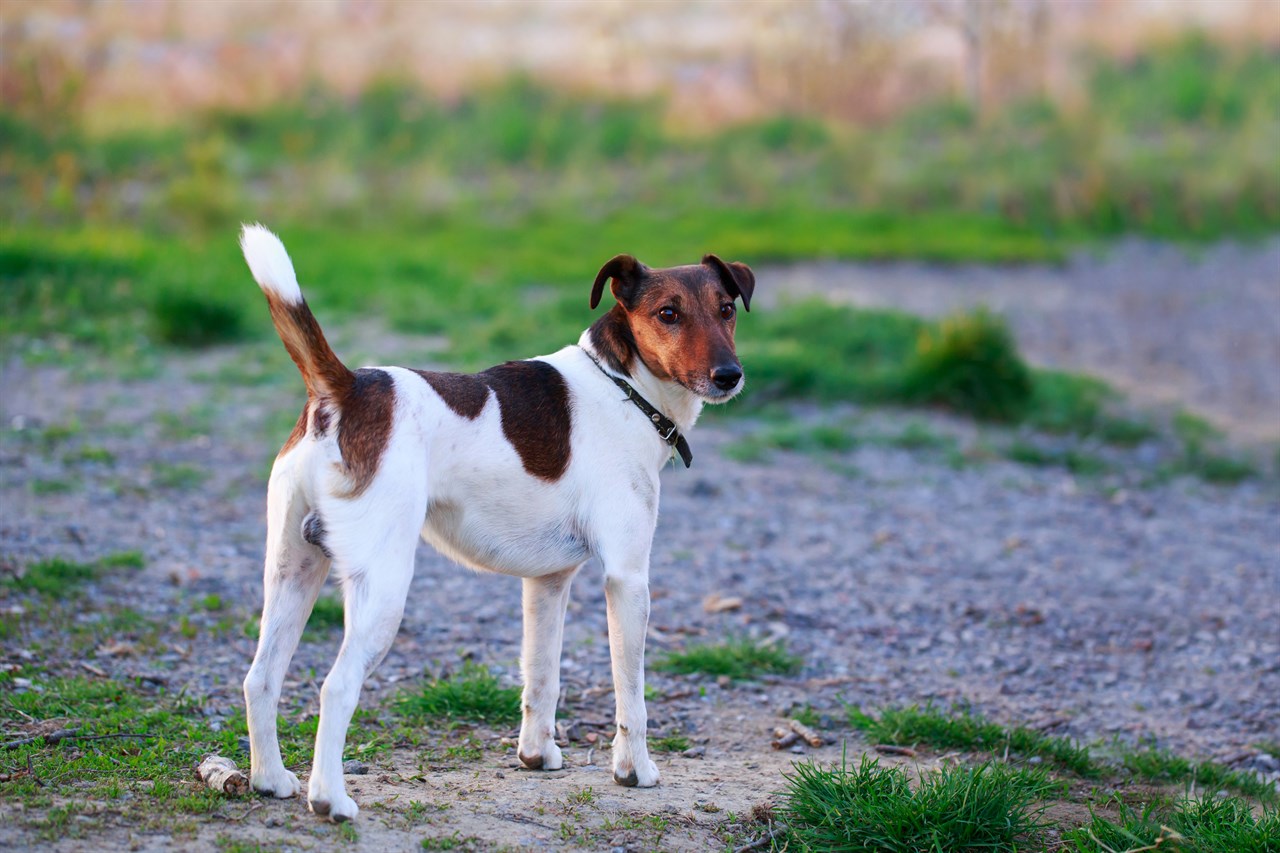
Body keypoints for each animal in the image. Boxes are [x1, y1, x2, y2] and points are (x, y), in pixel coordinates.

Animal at [236, 224, 752, 819]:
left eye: (726, 309)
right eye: (668, 313)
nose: (729, 375)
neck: (624, 385)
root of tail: (345, 389)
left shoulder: (547, 582)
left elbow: (542, 677)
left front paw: (536, 755)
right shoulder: (627, 579)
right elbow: (632, 695)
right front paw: (633, 771)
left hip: (292, 573)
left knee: (260, 678)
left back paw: (269, 779)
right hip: (382, 590)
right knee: (337, 688)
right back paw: (331, 800)